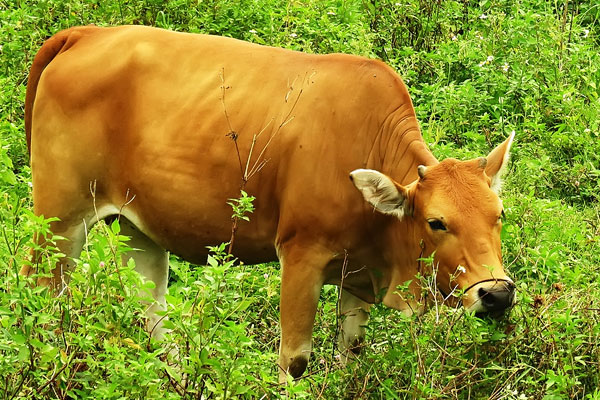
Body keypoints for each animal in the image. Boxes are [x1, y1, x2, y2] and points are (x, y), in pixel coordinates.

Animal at [19, 25, 516, 382]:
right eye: (436, 222)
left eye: (499, 216)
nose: (497, 293)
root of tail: (86, 33)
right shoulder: (301, 253)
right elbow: (293, 360)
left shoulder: (357, 273)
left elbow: (351, 355)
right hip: (59, 217)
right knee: (40, 294)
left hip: (135, 227)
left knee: (152, 311)